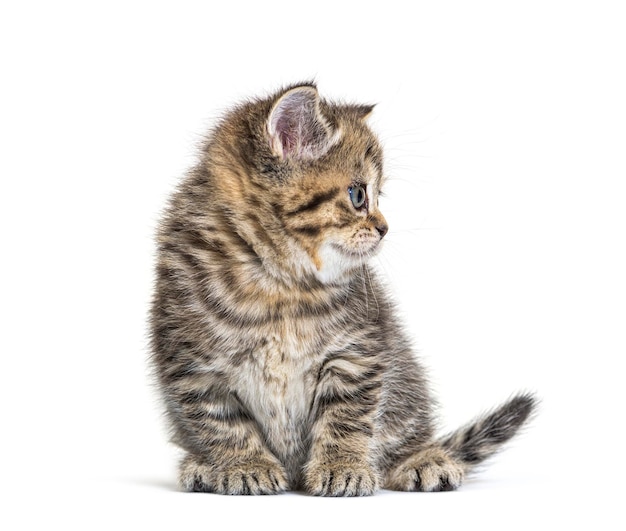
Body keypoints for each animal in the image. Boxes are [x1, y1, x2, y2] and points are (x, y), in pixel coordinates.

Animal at [149, 82, 532, 494]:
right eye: (358, 195)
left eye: (378, 195)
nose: (384, 228)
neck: (280, 284)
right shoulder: (192, 364)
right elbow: (222, 422)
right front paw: (244, 465)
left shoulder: (357, 352)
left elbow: (346, 417)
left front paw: (342, 467)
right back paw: (200, 466)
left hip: (407, 385)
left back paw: (424, 459)